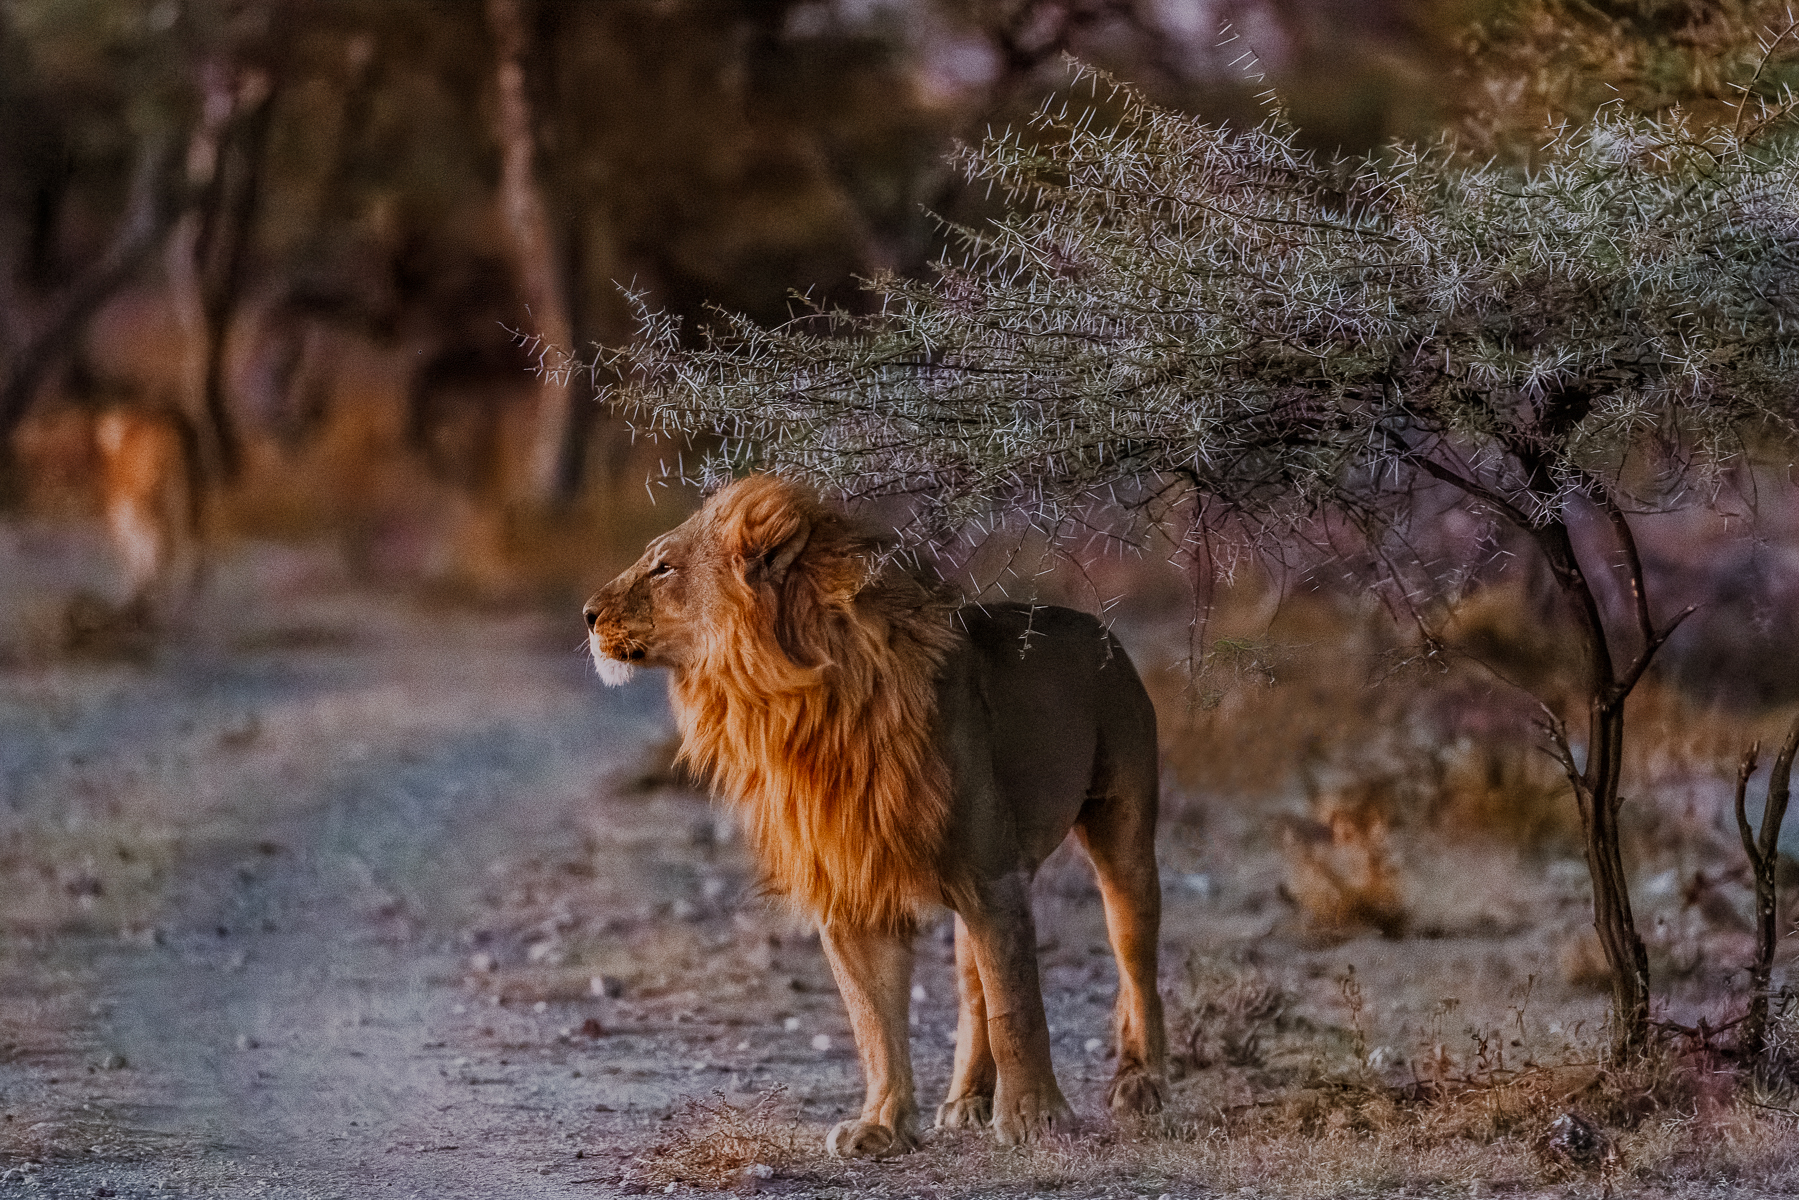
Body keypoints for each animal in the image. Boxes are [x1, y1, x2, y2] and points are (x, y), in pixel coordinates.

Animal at [583, 475, 1166, 1156]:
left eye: (663, 566)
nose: (587, 615)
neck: (794, 708)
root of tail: (1104, 628)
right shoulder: (853, 880)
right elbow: (875, 1020)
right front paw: (882, 1125)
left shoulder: (990, 876)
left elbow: (1017, 1008)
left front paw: (1034, 1117)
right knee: (973, 985)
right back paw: (966, 1100)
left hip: (1122, 834)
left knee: (1135, 963)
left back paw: (1141, 1085)